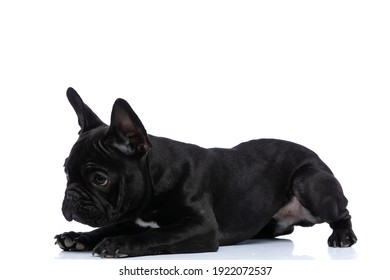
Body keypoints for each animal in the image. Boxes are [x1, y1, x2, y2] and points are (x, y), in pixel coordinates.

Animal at [54, 88, 356, 258]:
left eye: (99, 179)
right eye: (66, 172)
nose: (71, 197)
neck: (157, 181)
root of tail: (317, 157)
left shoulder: (201, 227)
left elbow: (157, 236)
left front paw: (119, 243)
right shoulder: (133, 219)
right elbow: (110, 226)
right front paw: (78, 238)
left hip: (309, 182)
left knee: (342, 212)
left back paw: (342, 235)